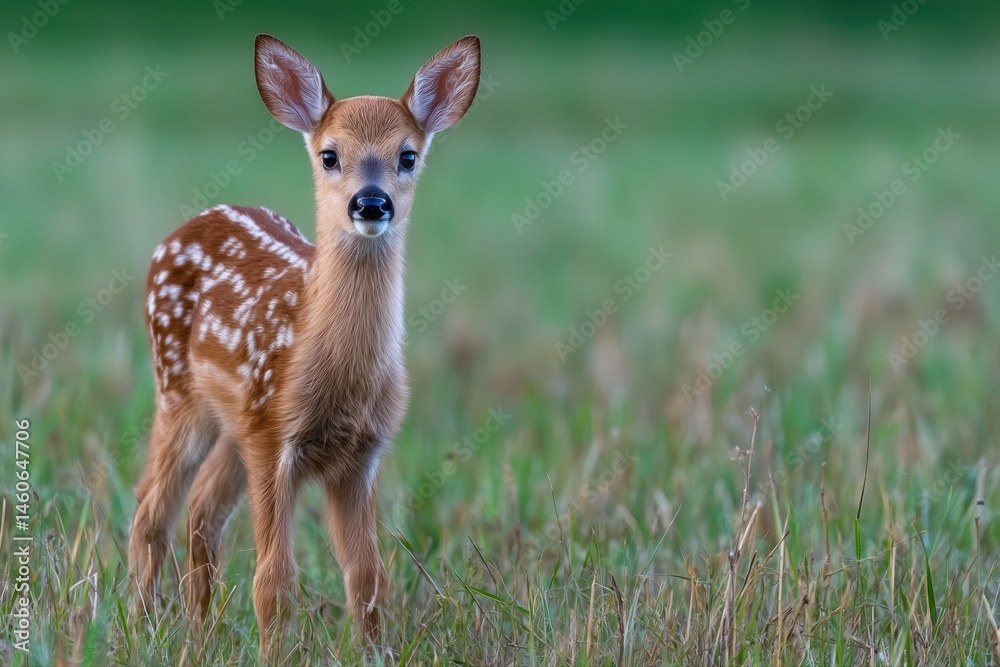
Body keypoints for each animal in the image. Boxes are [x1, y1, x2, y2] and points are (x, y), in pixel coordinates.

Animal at [127, 33, 481, 654]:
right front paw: (273, 654)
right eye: (329, 155)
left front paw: (377, 654)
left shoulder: (361, 455)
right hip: (180, 394)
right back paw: (145, 624)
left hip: (233, 425)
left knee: (200, 511)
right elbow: (273, 582)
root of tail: (182, 230)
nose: (371, 203)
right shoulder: (274, 438)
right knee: (151, 512)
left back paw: (198, 632)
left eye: (408, 156)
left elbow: (368, 578)